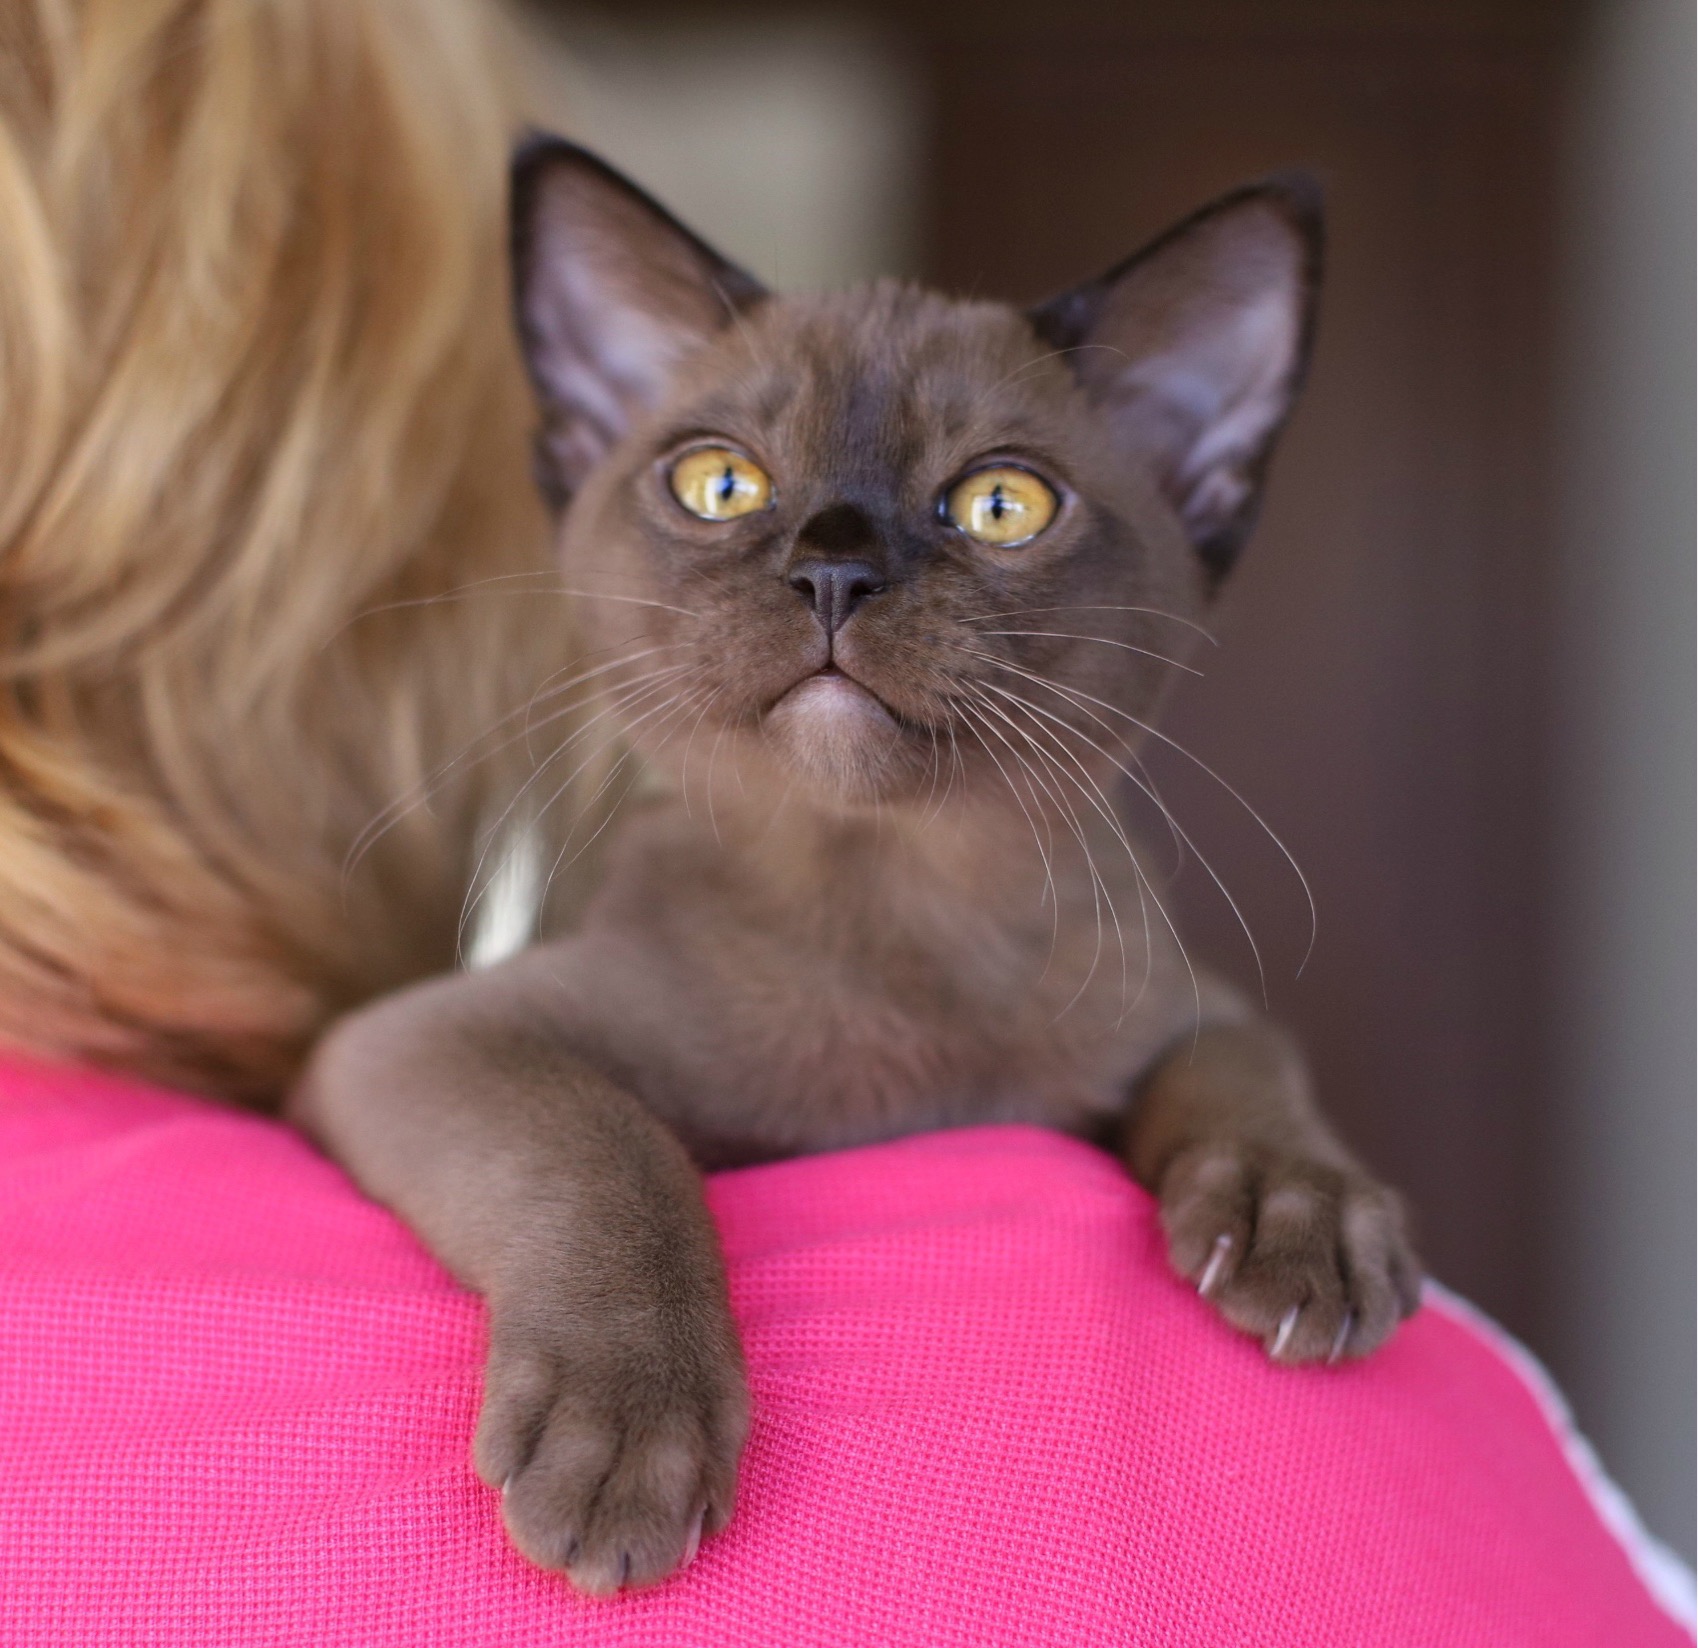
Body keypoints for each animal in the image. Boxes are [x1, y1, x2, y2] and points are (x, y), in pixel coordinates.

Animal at [292, 138, 1419, 1595]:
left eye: (1001, 504)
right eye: (720, 484)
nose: (833, 566)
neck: (895, 915)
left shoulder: (1175, 1009)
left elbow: (1246, 1059)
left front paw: (1302, 1219)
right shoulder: (427, 1040)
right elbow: (611, 1147)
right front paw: (625, 1441)